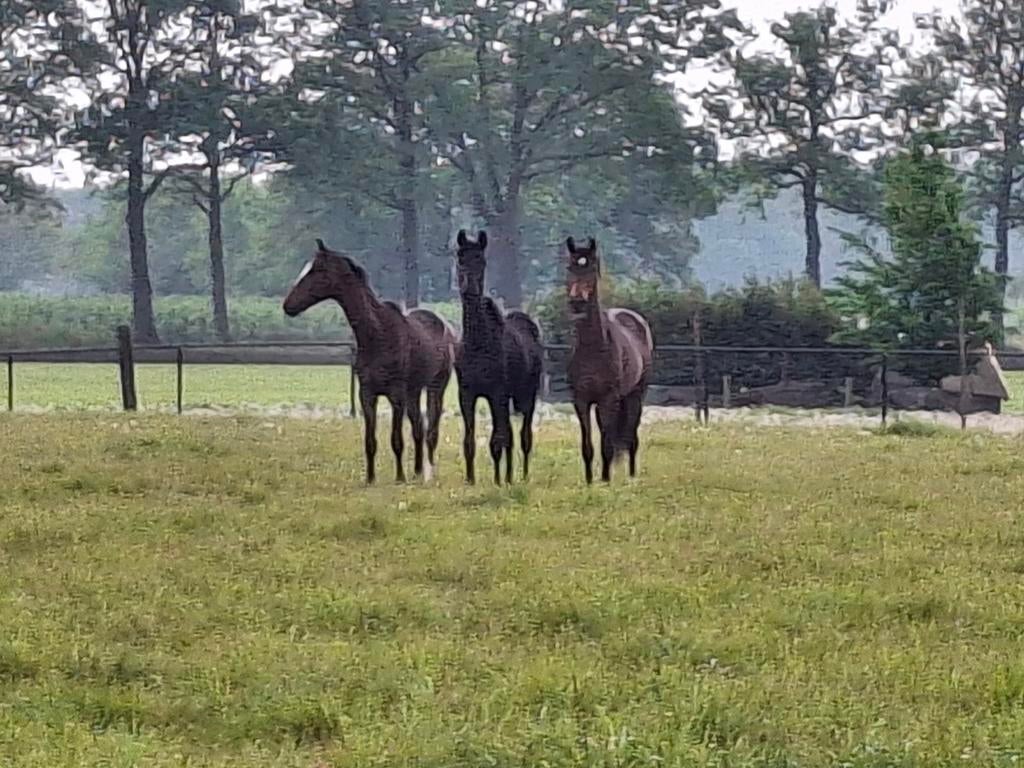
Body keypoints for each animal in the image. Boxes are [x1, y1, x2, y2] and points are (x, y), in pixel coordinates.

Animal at [283, 239, 456, 484]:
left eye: (317, 271)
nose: (288, 306)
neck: (378, 334)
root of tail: (446, 326)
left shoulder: (396, 396)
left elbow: (396, 440)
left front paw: (399, 477)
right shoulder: (367, 395)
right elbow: (370, 441)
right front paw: (370, 479)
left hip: (435, 388)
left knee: (432, 430)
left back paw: (428, 473)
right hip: (413, 392)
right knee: (418, 428)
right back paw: (417, 471)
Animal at [454, 229, 543, 485]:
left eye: (482, 261)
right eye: (460, 258)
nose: (470, 290)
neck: (478, 342)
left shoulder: (496, 394)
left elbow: (498, 439)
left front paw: (498, 480)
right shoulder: (466, 395)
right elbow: (470, 440)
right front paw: (471, 479)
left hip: (527, 396)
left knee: (523, 436)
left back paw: (520, 476)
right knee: (511, 434)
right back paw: (509, 475)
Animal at [564, 236, 654, 484]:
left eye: (592, 268)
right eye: (570, 267)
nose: (577, 302)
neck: (594, 348)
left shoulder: (608, 399)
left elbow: (607, 443)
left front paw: (605, 480)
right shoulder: (581, 401)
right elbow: (587, 444)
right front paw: (589, 480)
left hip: (634, 396)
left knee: (631, 435)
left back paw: (631, 475)